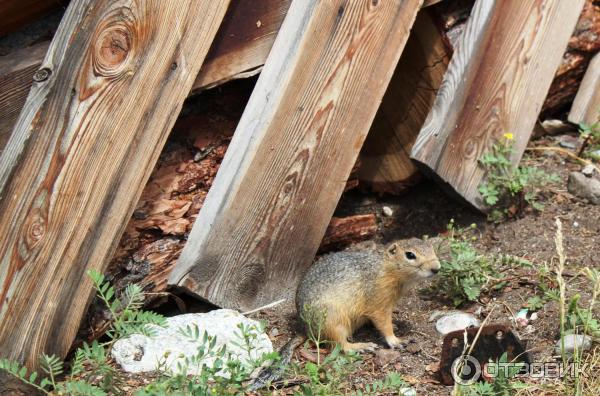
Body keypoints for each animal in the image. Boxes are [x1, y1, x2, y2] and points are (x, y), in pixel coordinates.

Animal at [296, 238, 440, 352]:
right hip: (333, 321)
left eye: (432, 248)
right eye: (410, 255)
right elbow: (384, 323)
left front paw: (393, 325)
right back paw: (361, 346)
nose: (436, 268)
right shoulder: (378, 301)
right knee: (341, 345)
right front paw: (395, 340)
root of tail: (305, 328)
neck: (387, 267)